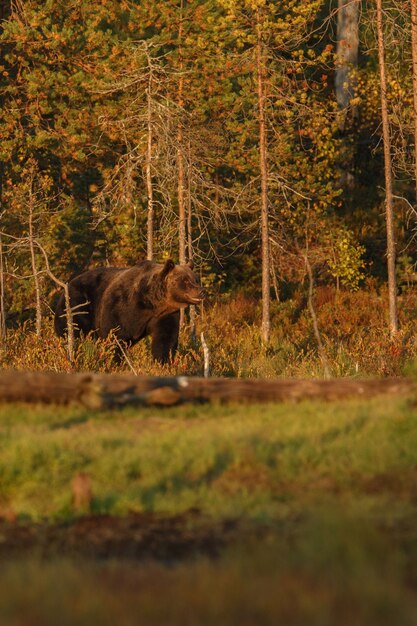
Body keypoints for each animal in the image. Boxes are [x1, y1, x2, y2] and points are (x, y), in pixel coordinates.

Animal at [54, 258, 204, 360]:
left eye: (196, 279)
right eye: (185, 280)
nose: (201, 292)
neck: (151, 302)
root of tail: (67, 284)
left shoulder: (164, 314)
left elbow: (165, 339)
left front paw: (163, 361)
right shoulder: (121, 306)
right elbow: (114, 336)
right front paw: (115, 360)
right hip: (77, 304)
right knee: (72, 331)